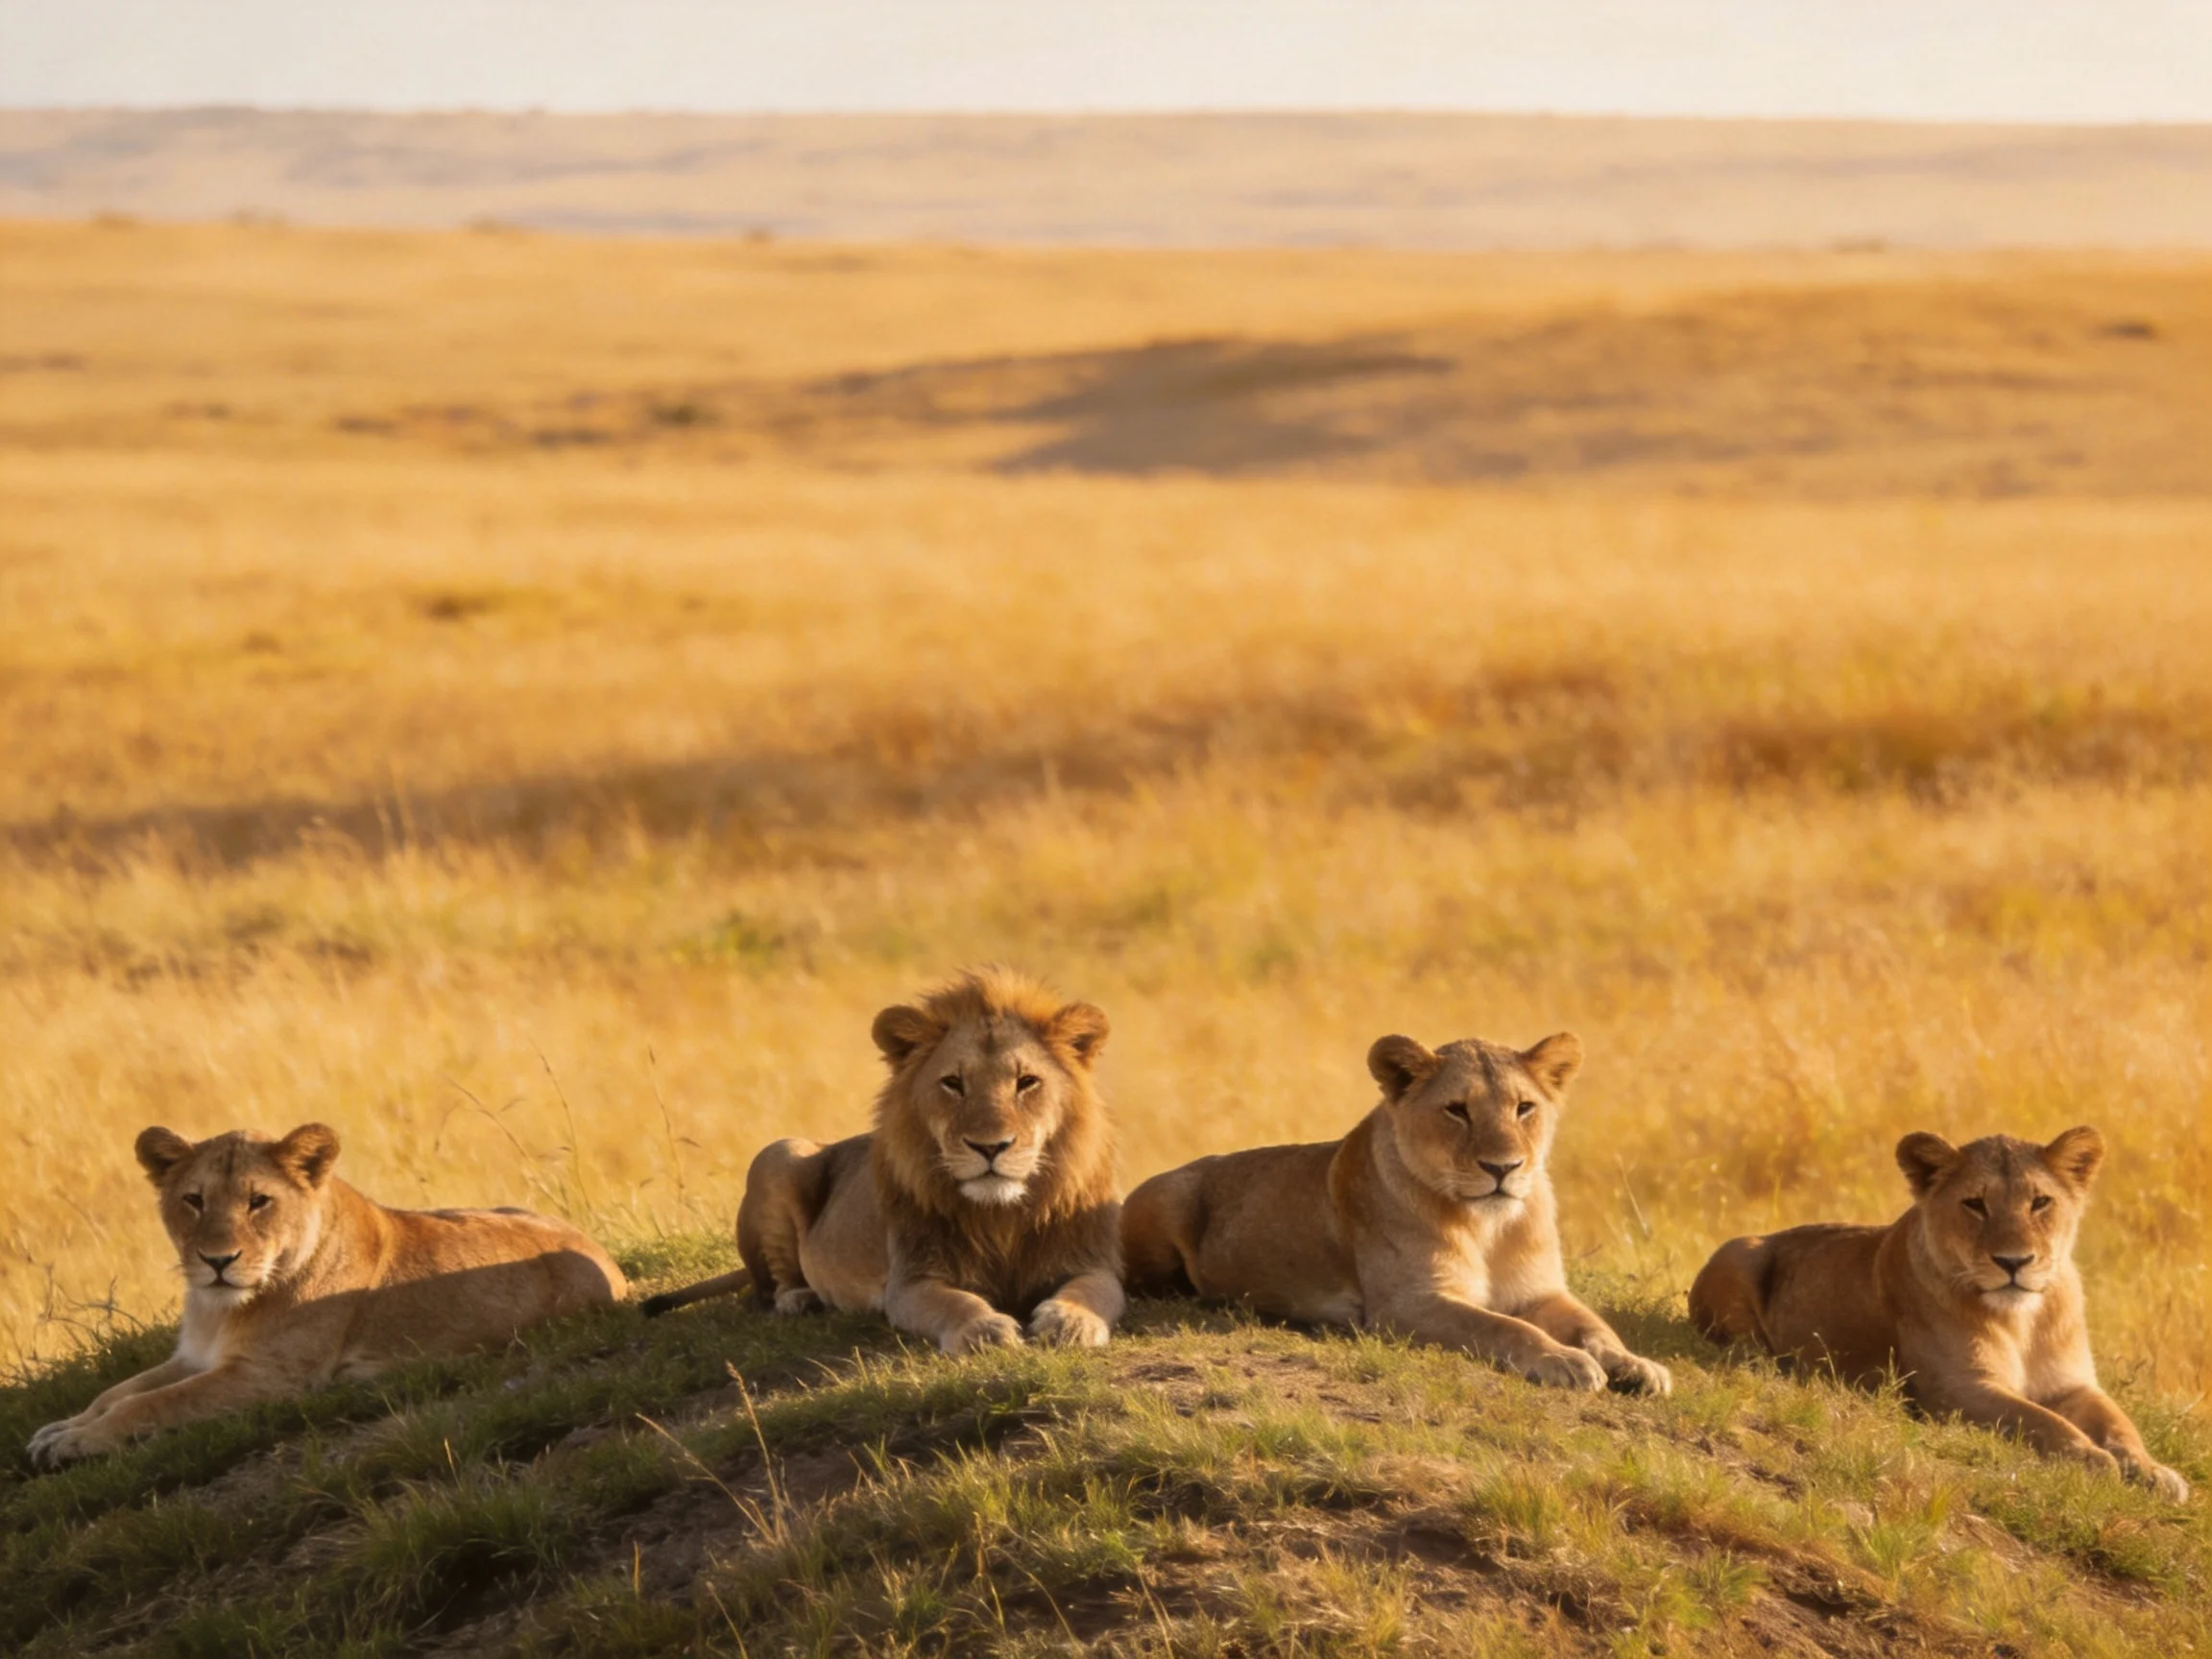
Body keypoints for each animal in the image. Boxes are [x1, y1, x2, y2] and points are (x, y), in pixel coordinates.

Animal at [27, 1122, 626, 1468]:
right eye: (194, 1200)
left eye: (258, 1201)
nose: (217, 1261)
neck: (218, 1311)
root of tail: (610, 1264)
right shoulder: (195, 1356)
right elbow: (116, 1392)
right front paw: (59, 1429)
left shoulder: (271, 1377)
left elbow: (150, 1403)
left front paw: (76, 1443)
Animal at [640, 966, 1125, 1354]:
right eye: (953, 1083)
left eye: (1027, 1082)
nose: (990, 1147)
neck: (999, 1216)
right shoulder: (910, 1281)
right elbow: (955, 1302)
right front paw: (984, 1329)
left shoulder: (1093, 1260)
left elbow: (1092, 1290)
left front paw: (1071, 1322)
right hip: (780, 1152)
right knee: (769, 1287)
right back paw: (801, 1299)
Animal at [1121, 1030, 1671, 1394]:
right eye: (1457, 1110)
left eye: (1524, 1108)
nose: (1503, 1167)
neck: (1489, 1226)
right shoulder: (1409, 1303)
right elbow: (1504, 1327)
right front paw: (1565, 1361)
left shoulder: (1542, 1292)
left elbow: (1596, 1327)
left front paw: (1638, 1365)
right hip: (1170, 1198)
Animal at [1689, 1127, 2189, 1500]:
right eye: (1975, 1203)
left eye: (2040, 1202)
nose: (2014, 1262)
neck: (2025, 1320)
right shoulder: (1957, 1387)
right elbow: (2038, 1419)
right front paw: (2091, 1459)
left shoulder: (2074, 1384)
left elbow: (2120, 1423)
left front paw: (2154, 1471)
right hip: (1740, 1249)